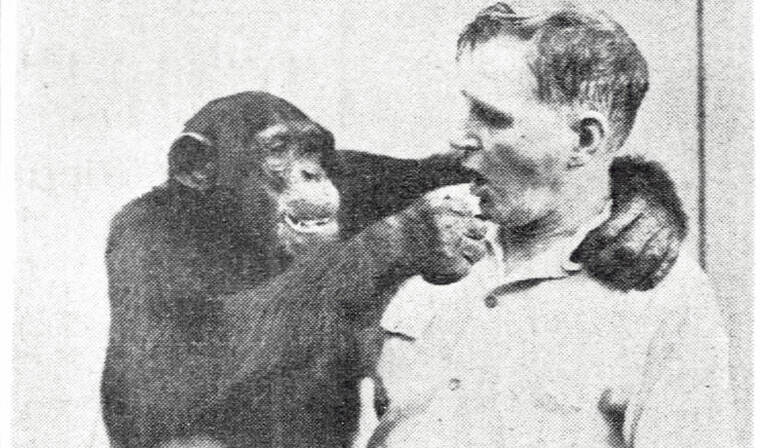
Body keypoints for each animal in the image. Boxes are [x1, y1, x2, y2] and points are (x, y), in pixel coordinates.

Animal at [101, 92, 688, 448]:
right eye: (277, 148)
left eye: (314, 147)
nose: (310, 172)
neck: (237, 232)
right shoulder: (137, 242)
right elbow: (164, 375)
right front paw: (415, 236)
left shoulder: (361, 176)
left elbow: (436, 169)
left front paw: (645, 213)